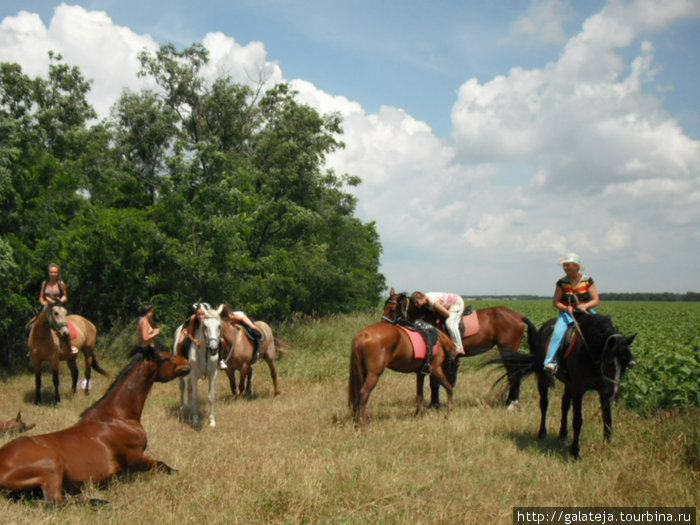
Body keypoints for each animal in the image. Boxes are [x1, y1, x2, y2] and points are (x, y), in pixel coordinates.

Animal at [0, 346, 190, 502]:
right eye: (167, 358)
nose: (187, 363)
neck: (117, 417)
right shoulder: (136, 459)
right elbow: (166, 467)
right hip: (52, 468)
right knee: (56, 502)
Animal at [382, 288, 536, 408]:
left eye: (392, 309)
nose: (383, 327)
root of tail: (520, 316)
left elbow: (436, 382)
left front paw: (435, 405)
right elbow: (438, 382)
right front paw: (435, 403)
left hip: (507, 351)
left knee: (514, 374)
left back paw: (511, 403)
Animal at [492, 312, 636, 458]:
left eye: (627, 366)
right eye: (609, 363)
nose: (614, 394)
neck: (590, 353)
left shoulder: (602, 392)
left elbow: (607, 419)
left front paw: (607, 444)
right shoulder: (579, 389)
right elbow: (578, 420)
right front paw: (575, 451)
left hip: (569, 384)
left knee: (565, 403)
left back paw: (563, 434)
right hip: (544, 379)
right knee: (544, 404)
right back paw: (542, 433)